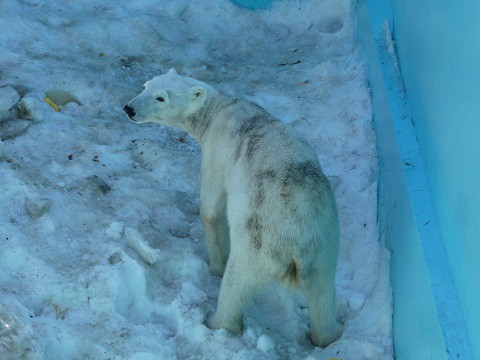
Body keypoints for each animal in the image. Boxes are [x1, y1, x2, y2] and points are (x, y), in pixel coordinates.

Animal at [124, 69, 342, 348]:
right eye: (145, 86)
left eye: (161, 97)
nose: (129, 109)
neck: (220, 108)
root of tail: (298, 247)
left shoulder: (217, 151)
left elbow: (211, 208)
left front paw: (215, 265)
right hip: (324, 248)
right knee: (323, 295)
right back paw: (326, 337)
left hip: (259, 243)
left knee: (237, 282)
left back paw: (216, 321)